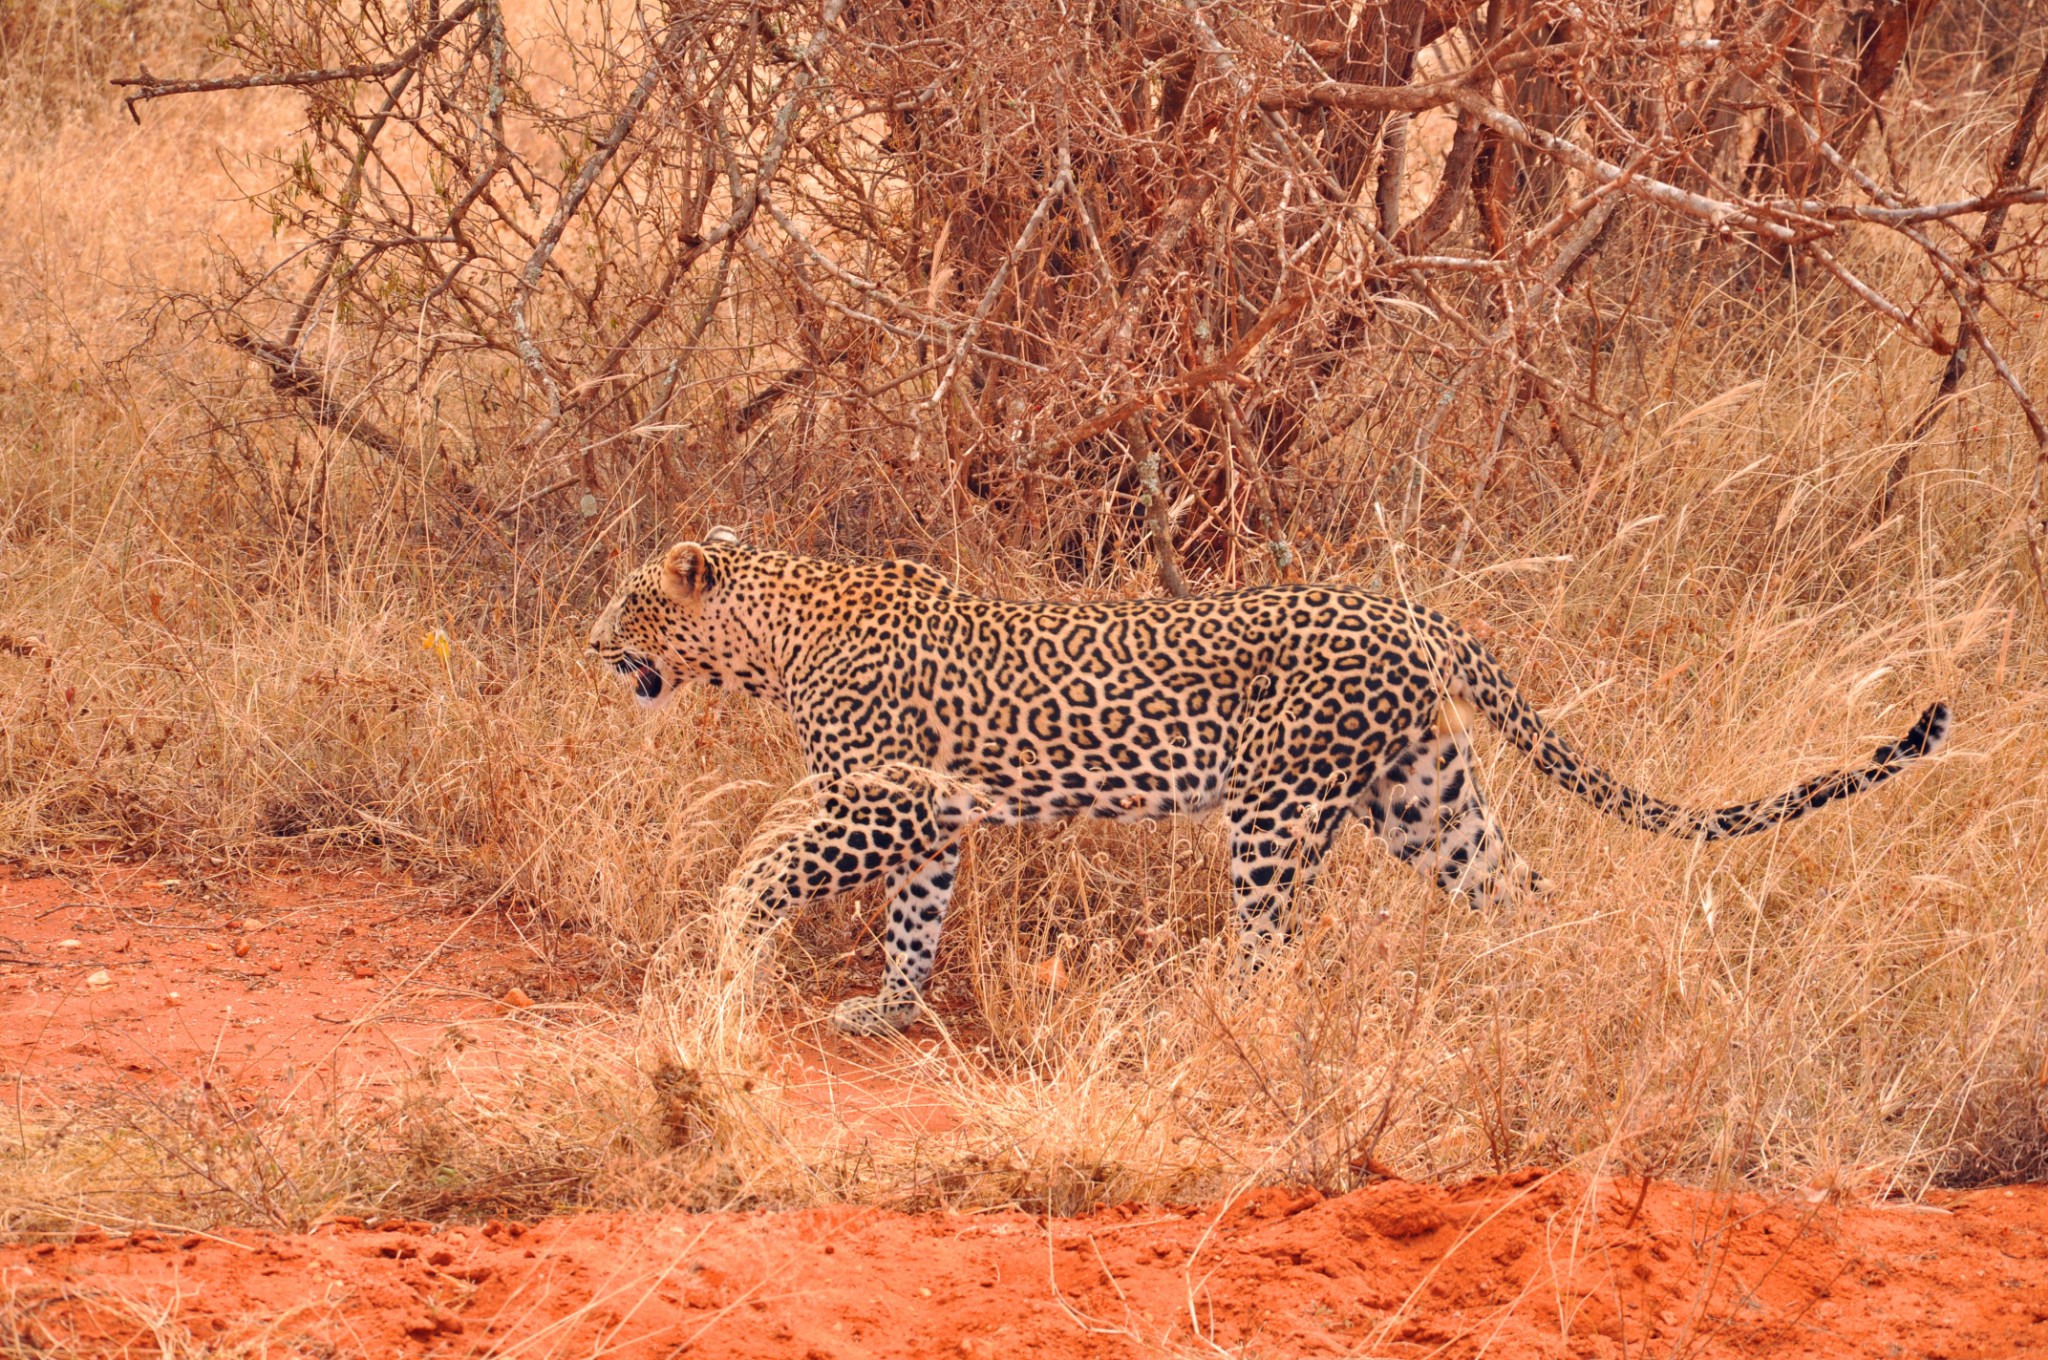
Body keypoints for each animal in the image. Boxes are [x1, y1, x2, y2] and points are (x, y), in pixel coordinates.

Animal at [589, 528, 1949, 1032]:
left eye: (629, 600)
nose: (593, 644)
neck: (771, 638)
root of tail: (1411, 612)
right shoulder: (930, 823)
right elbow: (911, 925)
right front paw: (886, 1008)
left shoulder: (887, 800)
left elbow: (774, 861)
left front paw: (722, 943)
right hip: (1422, 797)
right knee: (1520, 890)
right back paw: (1537, 988)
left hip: (1276, 809)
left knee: (1270, 949)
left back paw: (1204, 1023)